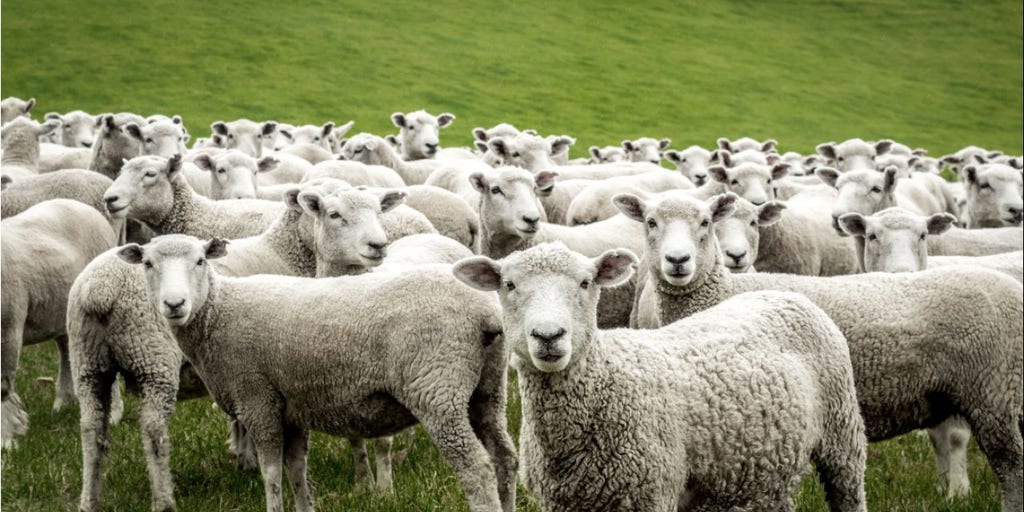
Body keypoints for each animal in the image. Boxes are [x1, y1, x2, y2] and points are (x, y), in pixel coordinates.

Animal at [2, 199, 118, 450]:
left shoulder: (9, 328)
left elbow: (2, 387)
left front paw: (7, 438)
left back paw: (112, 415)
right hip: (63, 314)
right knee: (66, 352)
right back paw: (64, 402)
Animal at [119, 234, 517, 512]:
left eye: (200, 261)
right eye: (148, 264)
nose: (174, 304)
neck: (218, 311)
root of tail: (486, 313)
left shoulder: (258, 400)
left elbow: (271, 474)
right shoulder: (291, 408)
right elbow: (297, 470)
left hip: (437, 389)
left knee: (476, 468)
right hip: (488, 390)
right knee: (505, 458)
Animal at [453, 243, 867, 512]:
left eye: (586, 283)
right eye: (508, 285)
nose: (549, 336)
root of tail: (783, 295)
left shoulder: (649, 492)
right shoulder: (563, 503)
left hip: (842, 435)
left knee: (849, 489)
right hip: (766, 468)